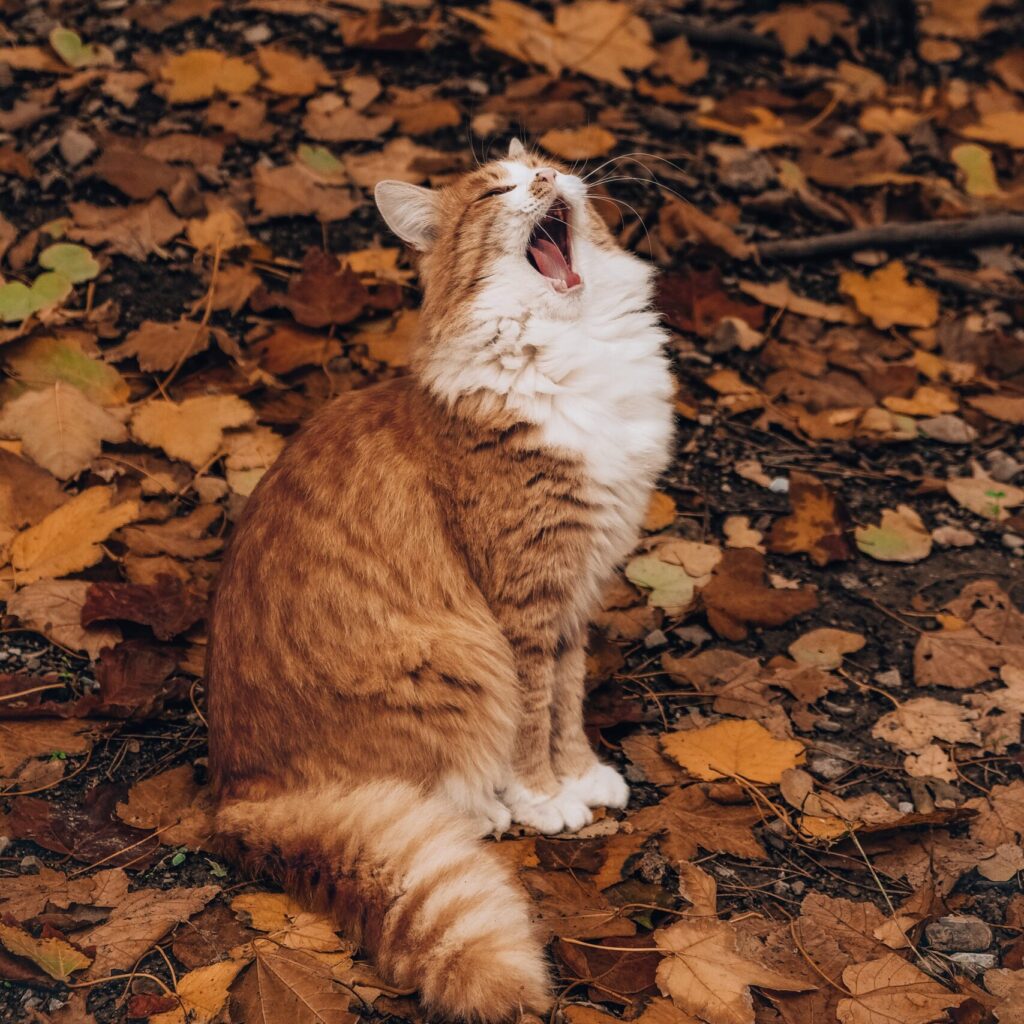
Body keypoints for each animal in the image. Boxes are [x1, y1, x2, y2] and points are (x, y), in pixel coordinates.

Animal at [205, 138, 671, 1024]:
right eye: (496, 192)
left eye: (546, 163)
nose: (548, 180)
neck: (574, 347)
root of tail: (235, 795)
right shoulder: (523, 604)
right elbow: (531, 716)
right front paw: (543, 796)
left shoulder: (574, 592)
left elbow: (566, 701)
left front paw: (580, 773)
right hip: (451, 657)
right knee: (434, 792)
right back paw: (488, 807)